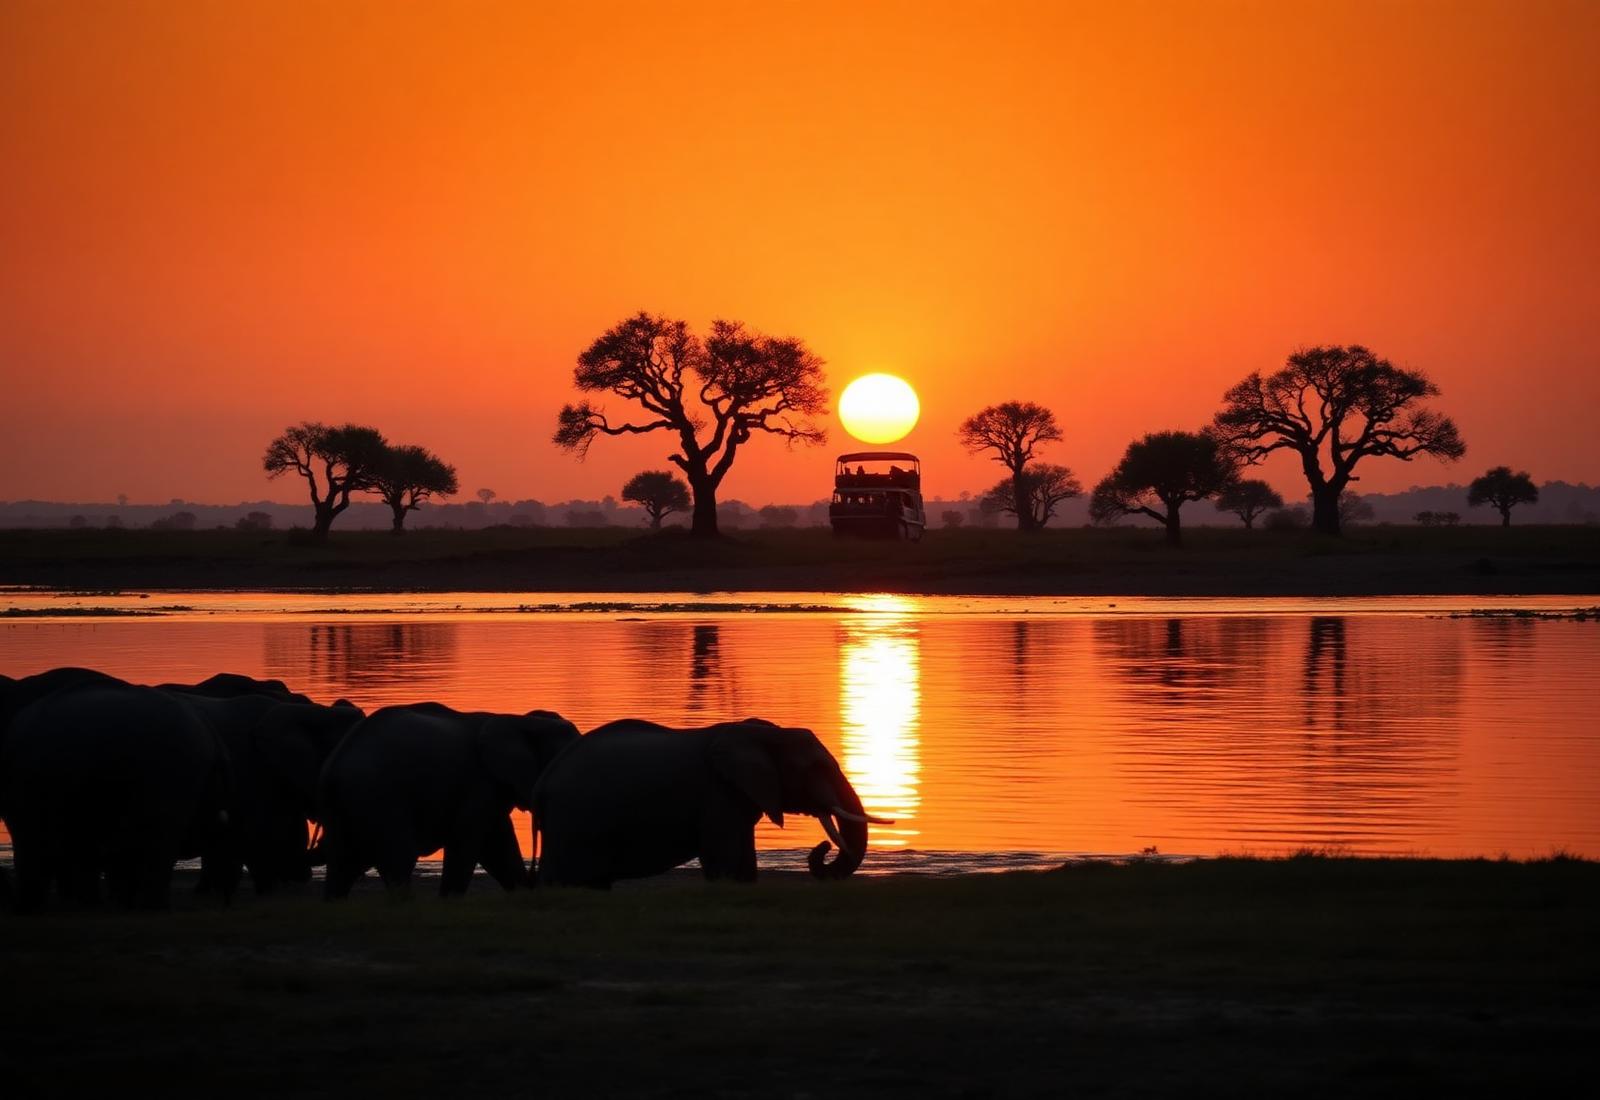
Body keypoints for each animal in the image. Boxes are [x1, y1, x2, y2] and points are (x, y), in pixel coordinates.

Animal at [318, 702, 580, 899]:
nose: (537, 881)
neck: (523, 721)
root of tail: (332, 770)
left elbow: (498, 845)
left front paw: (522, 894)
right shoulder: (479, 783)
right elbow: (469, 841)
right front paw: (449, 901)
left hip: (347, 805)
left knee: (342, 862)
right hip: (378, 798)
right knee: (399, 857)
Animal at [534, 718, 890, 888]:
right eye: (818, 768)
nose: (822, 848)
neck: (760, 733)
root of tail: (543, 782)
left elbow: (744, 860)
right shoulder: (717, 793)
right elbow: (724, 857)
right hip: (575, 821)